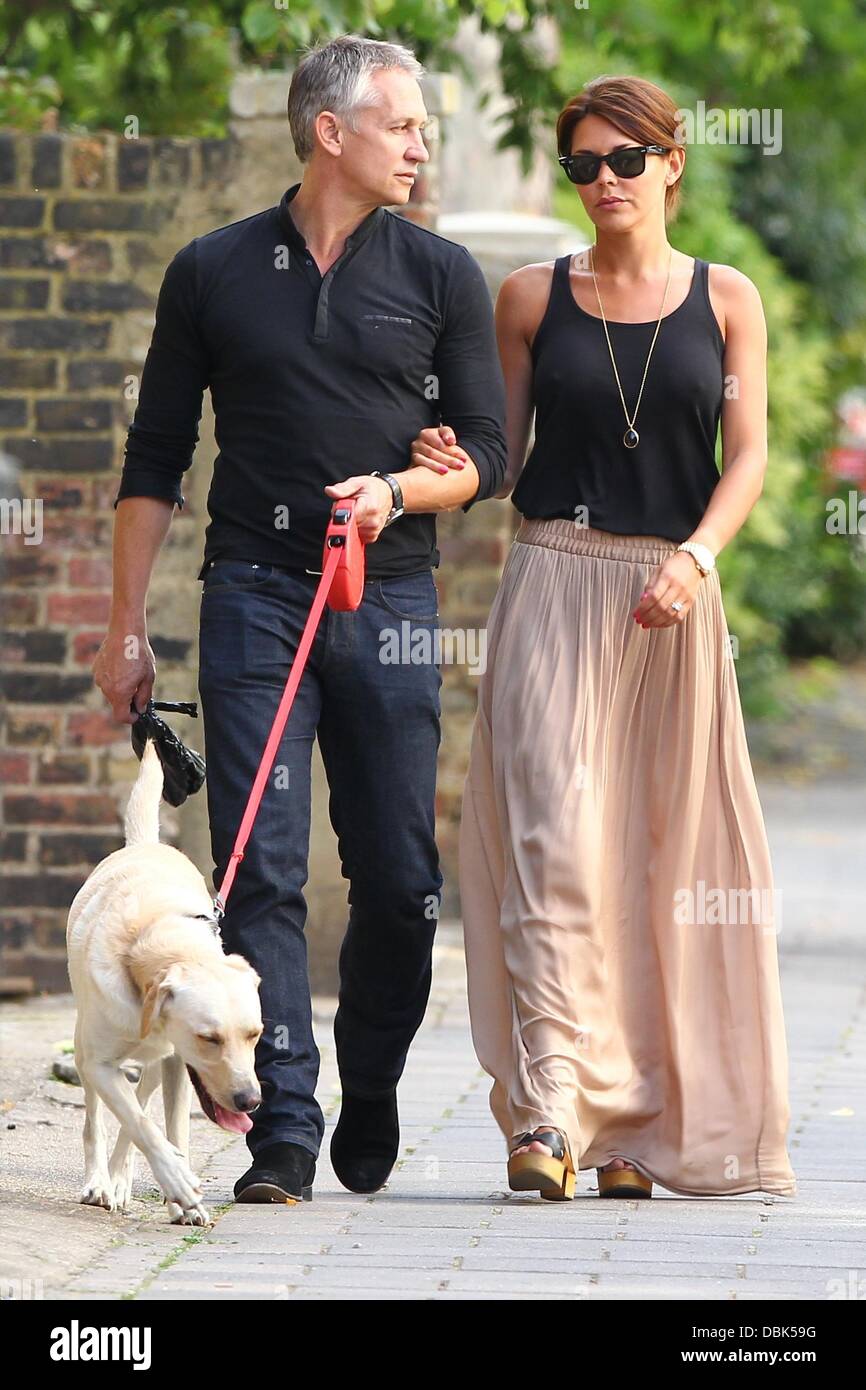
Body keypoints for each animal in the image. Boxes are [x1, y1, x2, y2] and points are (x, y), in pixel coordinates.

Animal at [67, 745, 262, 1223]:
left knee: (140, 1100)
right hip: (83, 1052)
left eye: (255, 1034)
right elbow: (138, 1122)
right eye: (209, 1038)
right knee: (99, 1119)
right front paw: (177, 1182)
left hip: (158, 1063)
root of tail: (145, 844)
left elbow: (169, 1127)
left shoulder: (177, 1064)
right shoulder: (100, 1063)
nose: (250, 1101)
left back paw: (122, 1182)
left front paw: (182, 1196)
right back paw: (100, 1183)